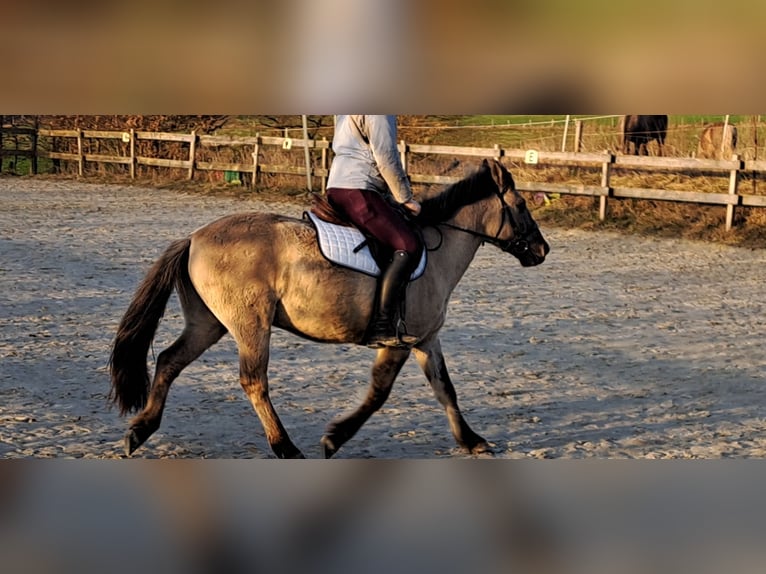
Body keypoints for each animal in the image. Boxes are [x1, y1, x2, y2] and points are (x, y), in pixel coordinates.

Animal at [109, 158, 550, 458]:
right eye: (521, 205)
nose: (542, 250)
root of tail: (195, 237)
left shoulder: (426, 339)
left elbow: (446, 389)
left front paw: (472, 440)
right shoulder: (400, 342)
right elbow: (379, 391)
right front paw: (335, 437)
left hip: (208, 323)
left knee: (169, 360)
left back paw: (139, 432)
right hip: (251, 325)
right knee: (253, 381)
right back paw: (285, 447)